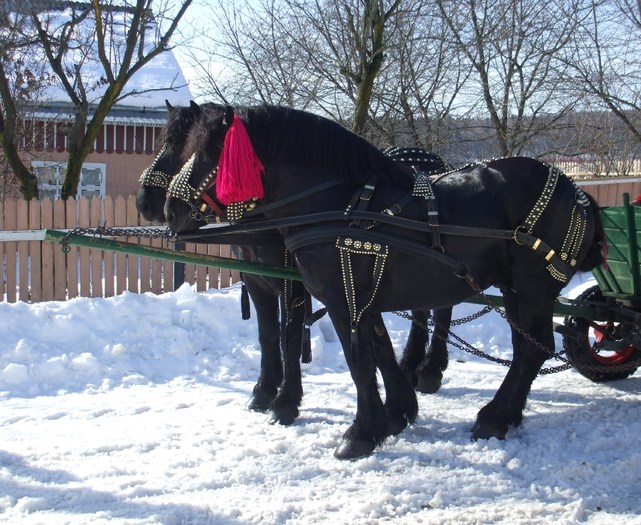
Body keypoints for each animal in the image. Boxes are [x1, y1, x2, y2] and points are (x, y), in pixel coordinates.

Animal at [162, 105, 604, 458]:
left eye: (210, 152)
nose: (167, 209)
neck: (339, 203)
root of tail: (576, 191)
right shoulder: (362, 295)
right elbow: (380, 350)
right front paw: (396, 414)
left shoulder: (342, 298)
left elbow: (359, 362)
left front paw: (362, 433)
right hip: (516, 290)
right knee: (528, 347)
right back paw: (504, 414)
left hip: (532, 288)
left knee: (533, 349)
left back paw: (493, 417)